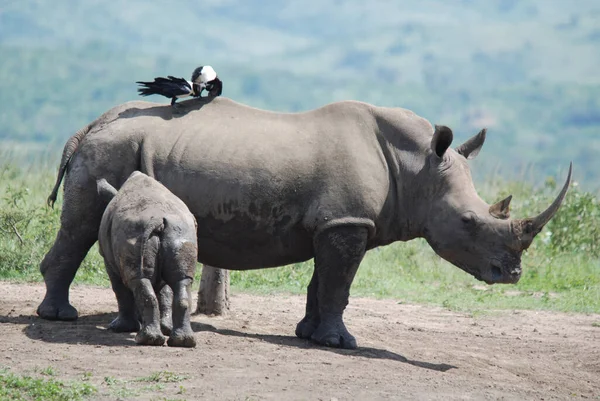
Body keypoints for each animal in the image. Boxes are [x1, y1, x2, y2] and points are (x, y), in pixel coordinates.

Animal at [96, 170, 197, 346]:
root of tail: (158, 220)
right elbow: (165, 292)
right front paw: (165, 327)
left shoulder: (108, 262)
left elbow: (120, 290)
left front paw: (119, 328)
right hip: (181, 232)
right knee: (182, 281)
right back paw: (183, 341)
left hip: (133, 232)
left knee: (138, 280)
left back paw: (146, 339)